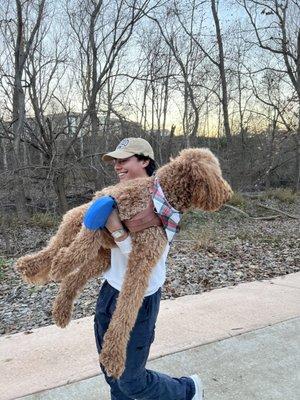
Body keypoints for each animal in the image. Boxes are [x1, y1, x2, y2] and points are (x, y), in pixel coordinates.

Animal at [15, 147, 233, 378]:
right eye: (218, 173)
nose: (228, 193)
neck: (158, 199)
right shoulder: (104, 211)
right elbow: (80, 247)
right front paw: (61, 264)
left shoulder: (143, 259)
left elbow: (127, 307)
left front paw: (112, 356)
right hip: (78, 218)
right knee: (55, 247)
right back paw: (31, 266)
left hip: (103, 258)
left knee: (74, 277)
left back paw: (61, 308)